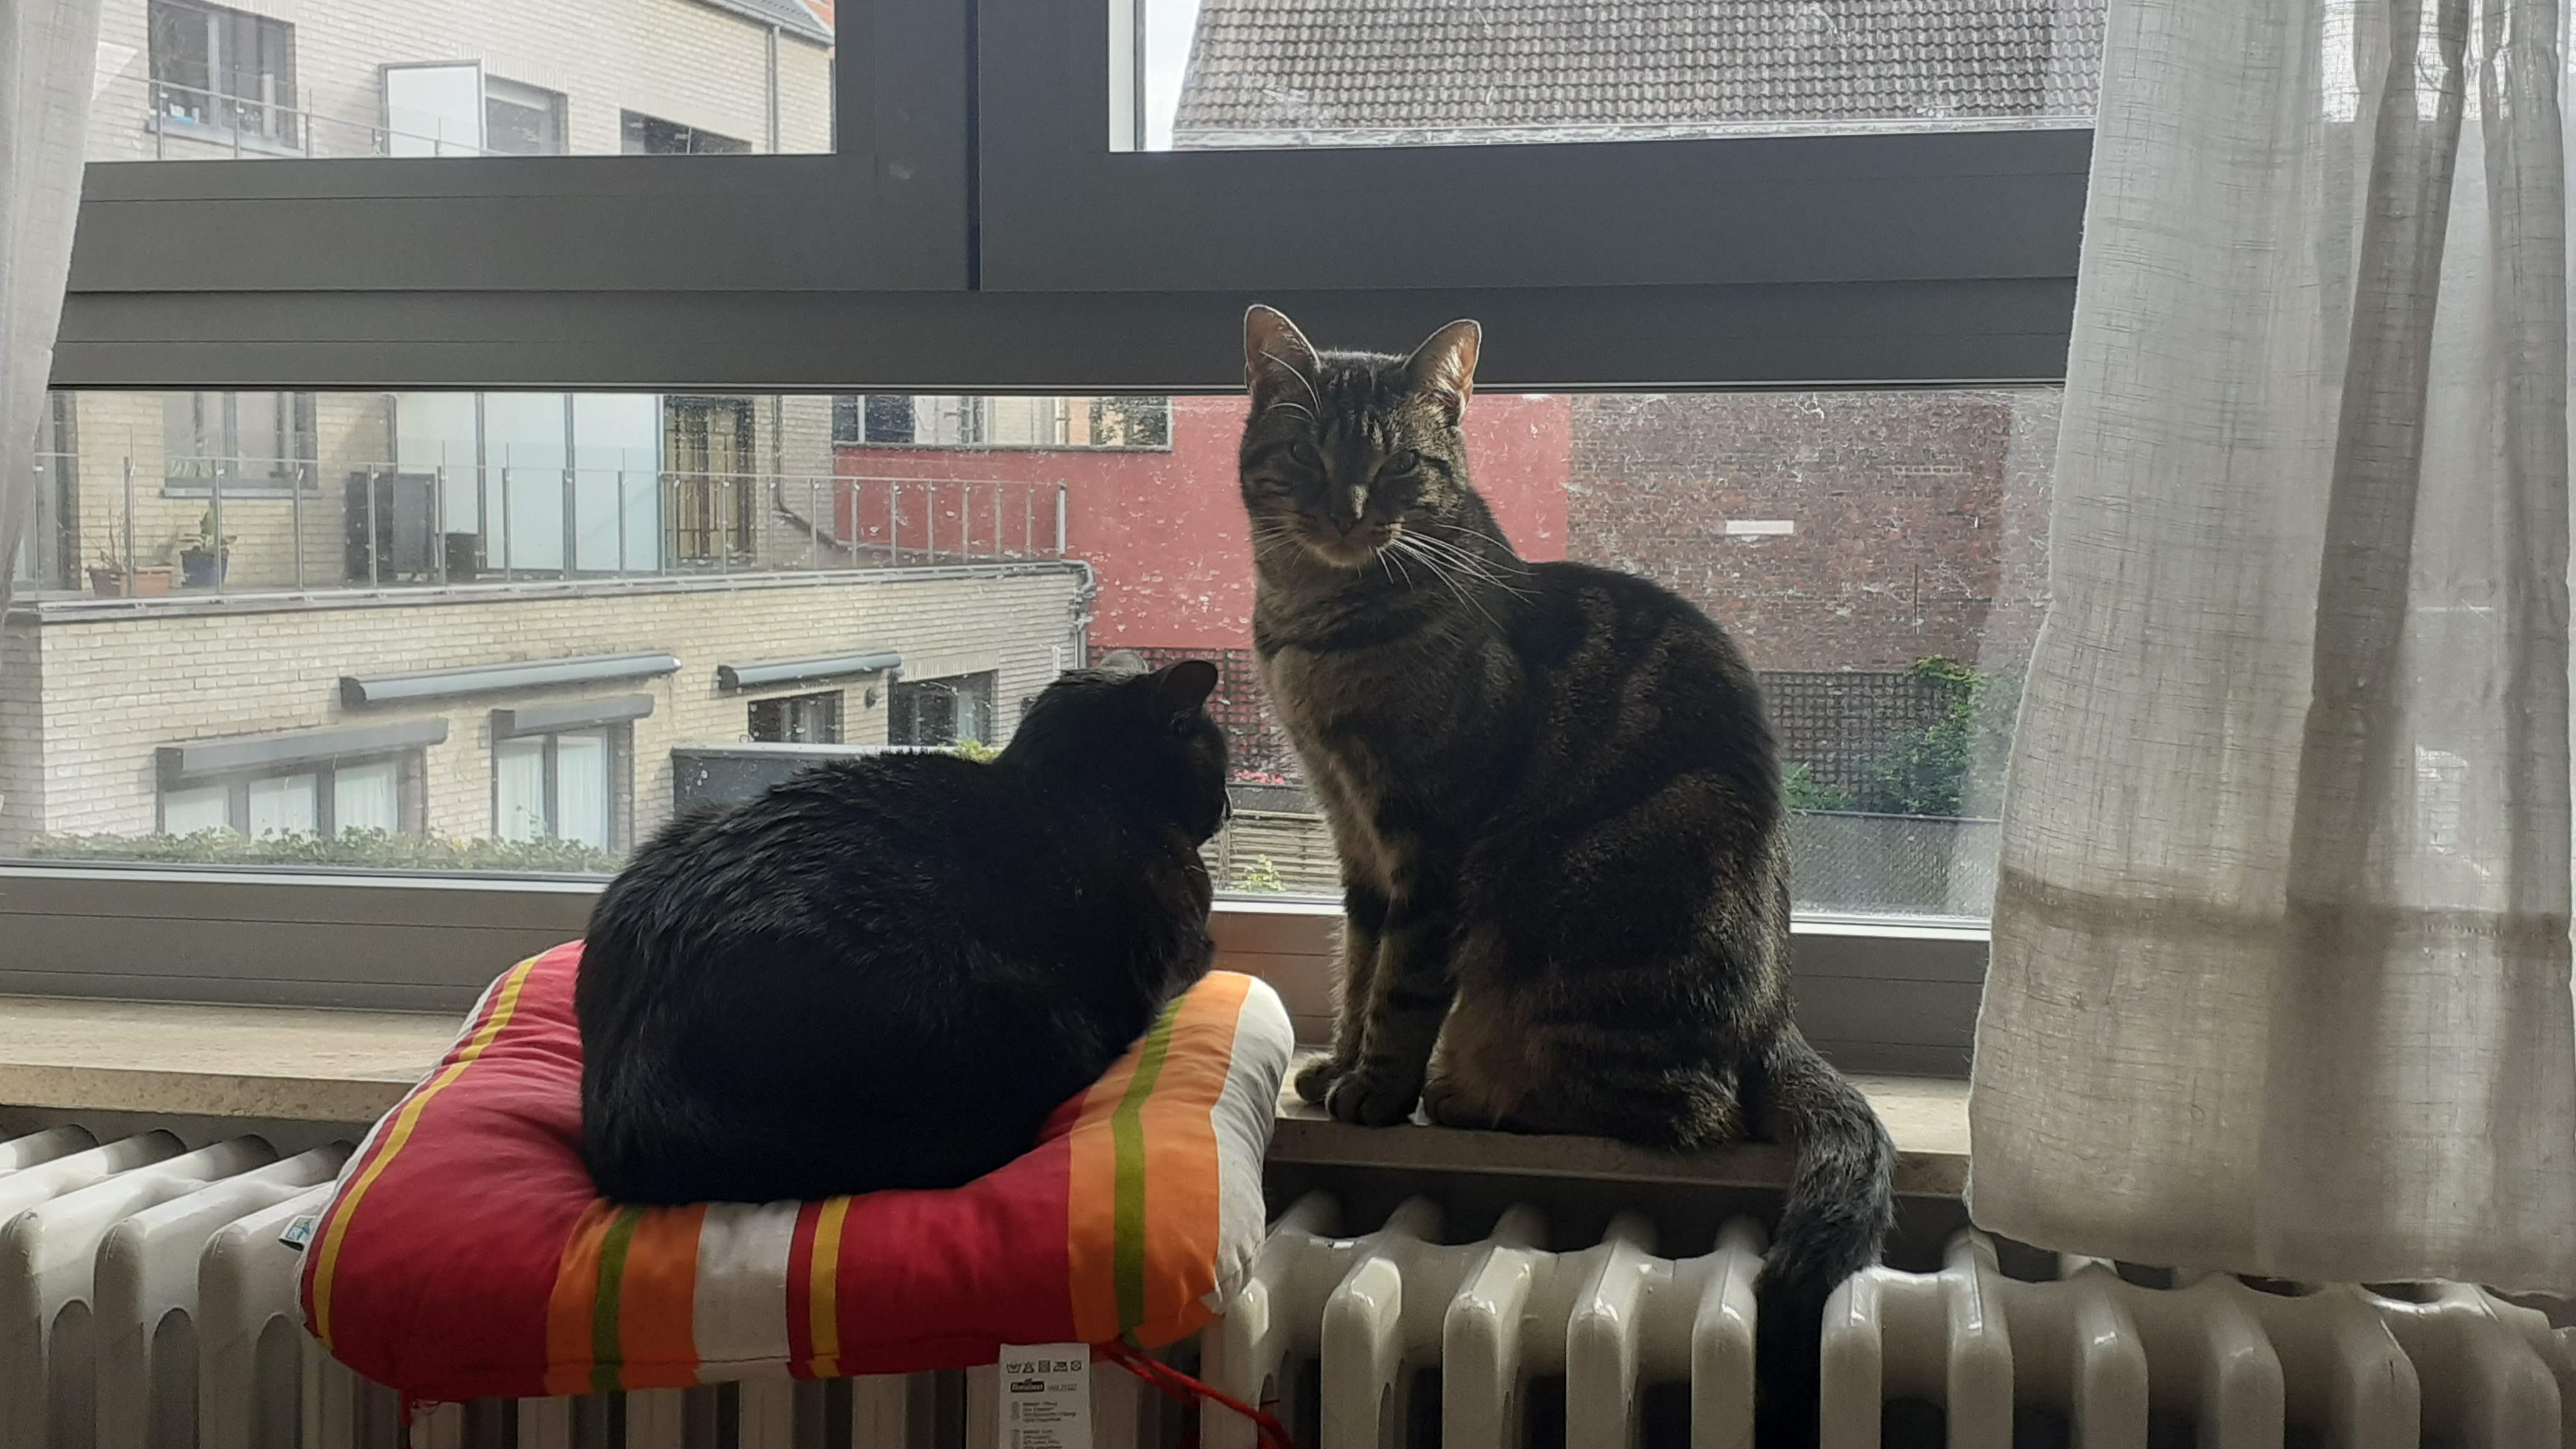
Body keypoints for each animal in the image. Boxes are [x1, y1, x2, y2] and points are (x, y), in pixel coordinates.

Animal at [579, 655, 1231, 1196]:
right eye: (1217, 758)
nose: (1228, 807)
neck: (1079, 783)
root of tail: (634, 1076)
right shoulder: (1180, 953)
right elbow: (1202, 952)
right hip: (1045, 1019)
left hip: (680, 831)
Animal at [1236, 301, 1906, 1433]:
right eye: (1308, 454)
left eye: (1399, 465)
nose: (1348, 510)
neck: (1318, 626)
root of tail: (1778, 1015)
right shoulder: (1353, 835)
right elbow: (1357, 966)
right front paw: (1339, 1066)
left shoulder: (1428, 842)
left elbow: (1402, 984)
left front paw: (1379, 1087)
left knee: (1690, 1111)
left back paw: (1468, 1095)